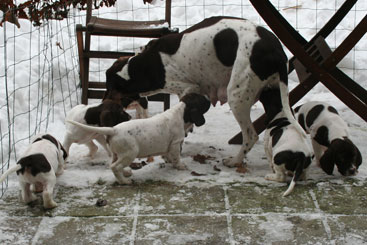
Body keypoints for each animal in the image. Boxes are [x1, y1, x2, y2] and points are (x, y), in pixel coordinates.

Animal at [66, 93, 210, 185]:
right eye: (202, 100)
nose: (209, 99)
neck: (181, 112)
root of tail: (114, 129)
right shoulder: (175, 144)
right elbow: (176, 157)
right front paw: (180, 166)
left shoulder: (169, 146)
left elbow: (168, 155)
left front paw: (168, 160)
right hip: (130, 153)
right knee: (115, 167)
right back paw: (124, 181)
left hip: (117, 153)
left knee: (113, 163)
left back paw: (126, 173)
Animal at [103, 16, 304, 167]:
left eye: (110, 88)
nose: (104, 102)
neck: (145, 65)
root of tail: (277, 50)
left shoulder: (187, 88)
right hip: (272, 94)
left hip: (237, 96)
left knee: (250, 135)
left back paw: (235, 161)